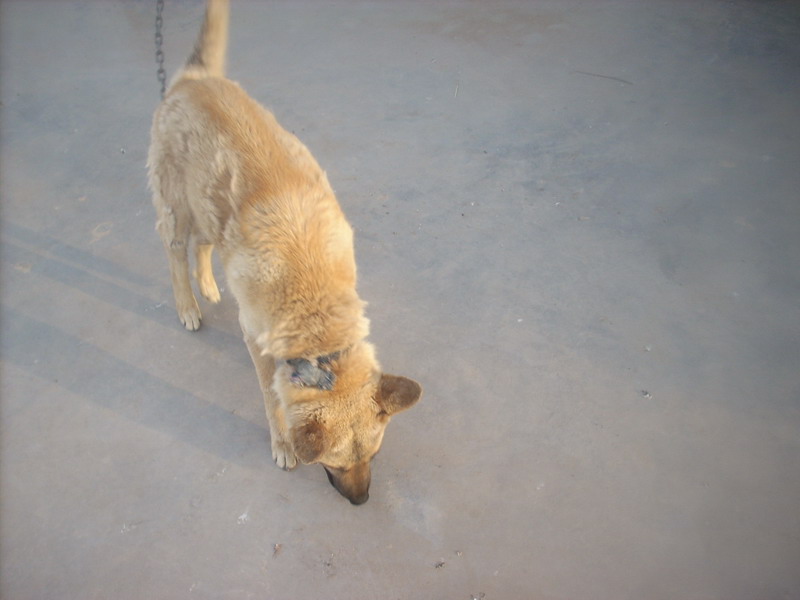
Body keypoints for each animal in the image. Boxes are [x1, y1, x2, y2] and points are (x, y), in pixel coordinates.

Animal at [147, 0, 421, 505]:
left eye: (374, 456)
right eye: (334, 464)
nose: (361, 502)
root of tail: (195, 80)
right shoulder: (257, 339)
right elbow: (271, 398)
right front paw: (282, 444)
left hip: (210, 207)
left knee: (203, 245)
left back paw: (209, 284)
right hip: (177, 208)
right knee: (175, 251)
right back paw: (188, 305)